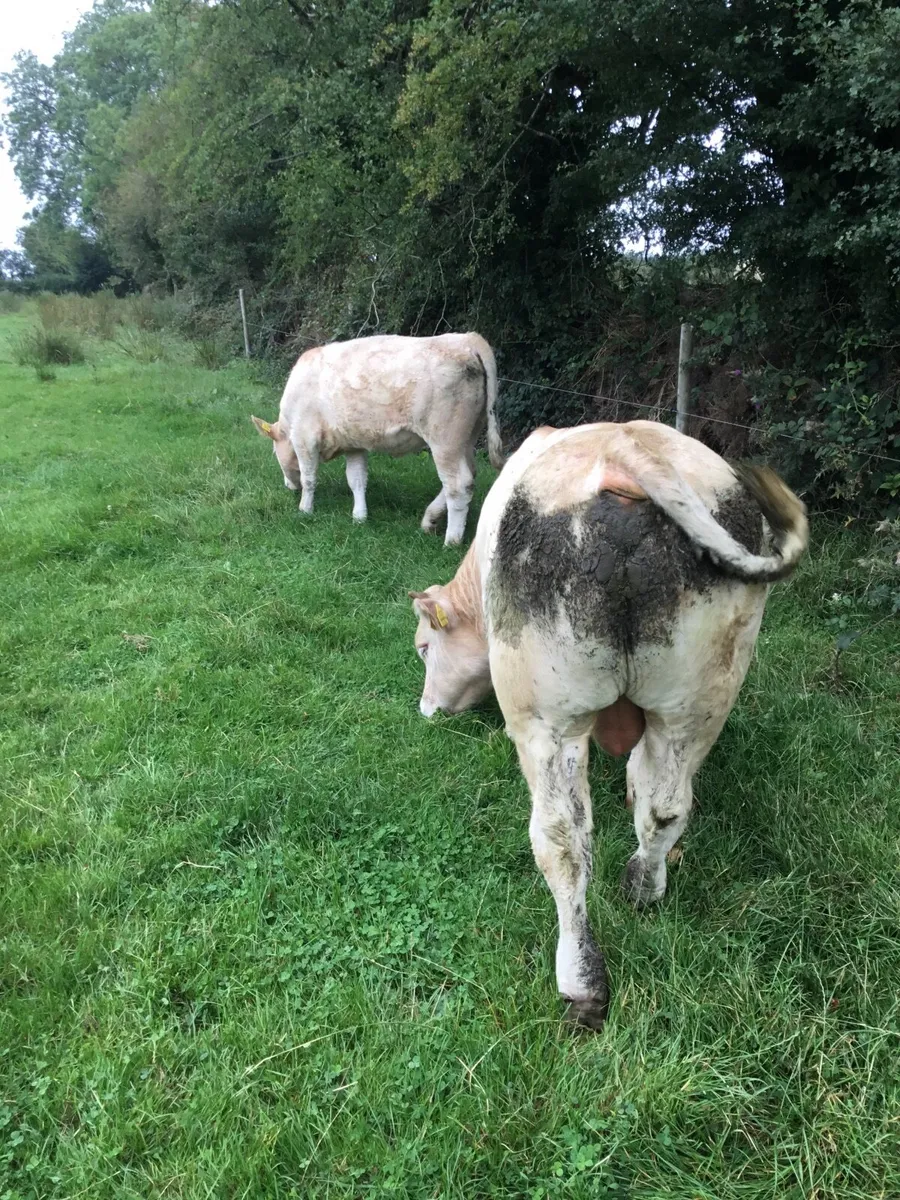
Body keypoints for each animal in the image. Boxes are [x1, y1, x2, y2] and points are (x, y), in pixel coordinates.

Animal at [251, 332, 502, 546]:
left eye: (274, 451)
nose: (288, 486)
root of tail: (467, 339)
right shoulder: (353, 443)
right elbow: (356, 479)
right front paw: (359, 516)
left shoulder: (305, 438)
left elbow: (309, 478)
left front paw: (305, 509)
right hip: (467, 438)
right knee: (469, 474)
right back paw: (430, 520)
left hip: (445, 439)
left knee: (458, 484)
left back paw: (451, 540)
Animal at [409, 420, 808, 1030]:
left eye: (425, 648)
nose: (426, 710)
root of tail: (626, 448)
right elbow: (643, 780)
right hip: (698, 700)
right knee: (665, 807)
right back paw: (644, 886)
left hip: (548, 716)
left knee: (562, 842)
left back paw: (581, 984)